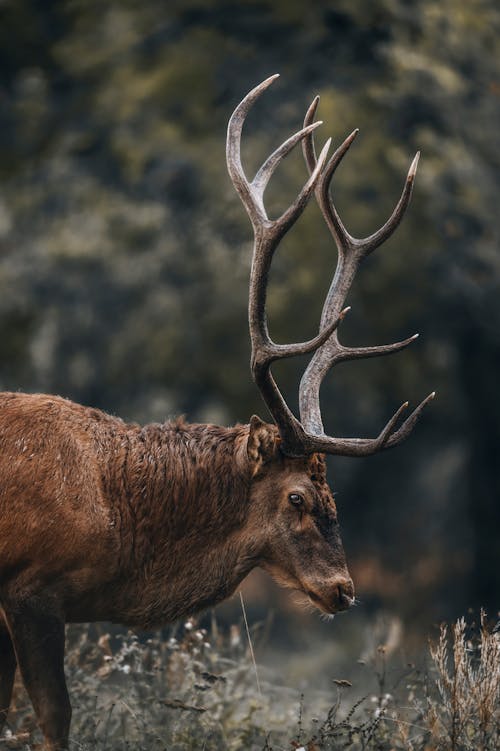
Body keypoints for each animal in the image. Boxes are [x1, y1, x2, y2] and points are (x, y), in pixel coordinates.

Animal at [0, 75, 432, 748]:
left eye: (333, 495)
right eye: (297, 496)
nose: (344, 590)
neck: (113, 519)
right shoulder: (29, 590)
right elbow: (53, 716)